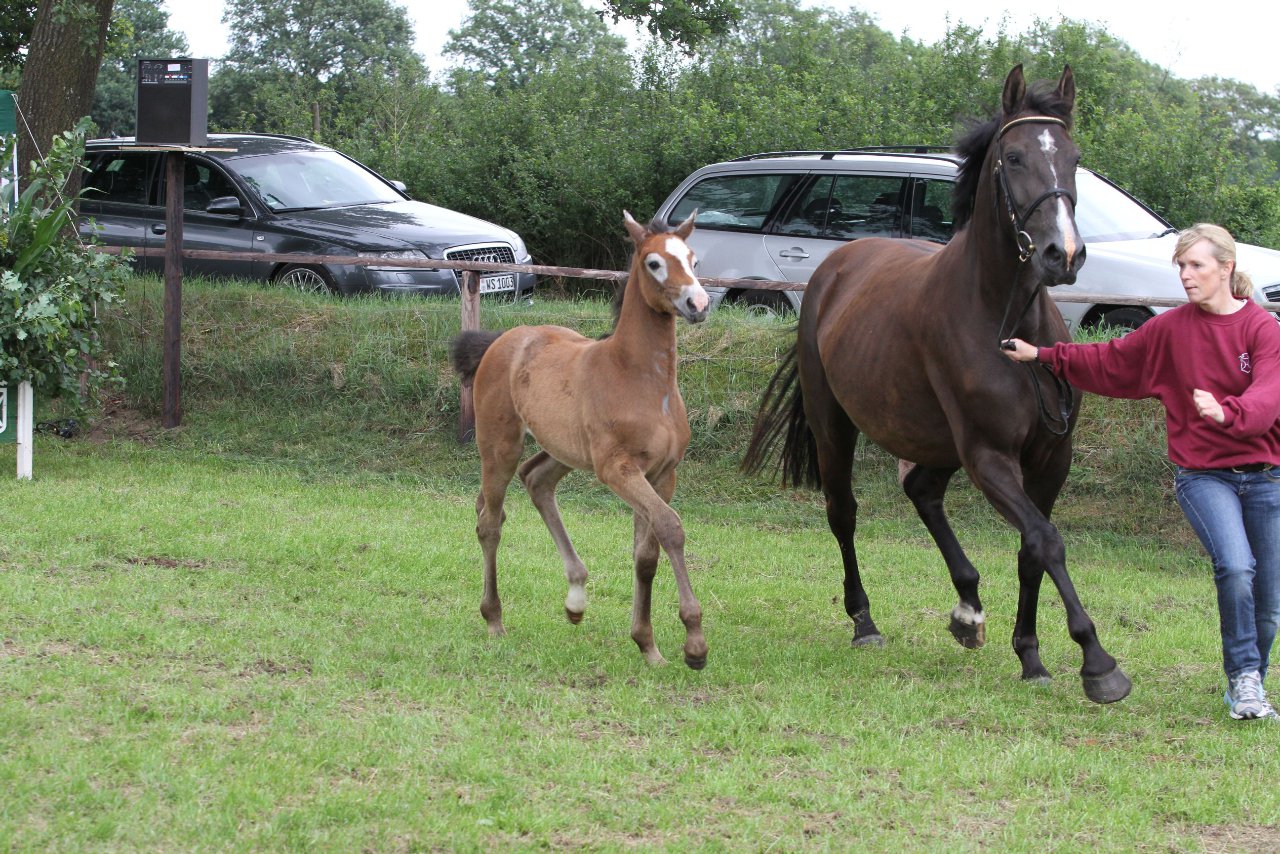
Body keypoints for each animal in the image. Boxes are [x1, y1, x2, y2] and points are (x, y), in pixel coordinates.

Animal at [742, 66, 1131, 706]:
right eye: (1015, 157)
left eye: (1073, 159)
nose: (1064, 254)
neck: (1004, 321)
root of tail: (834, 269)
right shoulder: (989, 456)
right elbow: (1047, 540)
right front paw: (1098, 663)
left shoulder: (1050, 458)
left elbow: (1032, 548)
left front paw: (1031, 656)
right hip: (836, 426)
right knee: (843, 512)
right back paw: (865, 622)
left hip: (935, 440)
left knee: (922, 491)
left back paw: (968, 608)